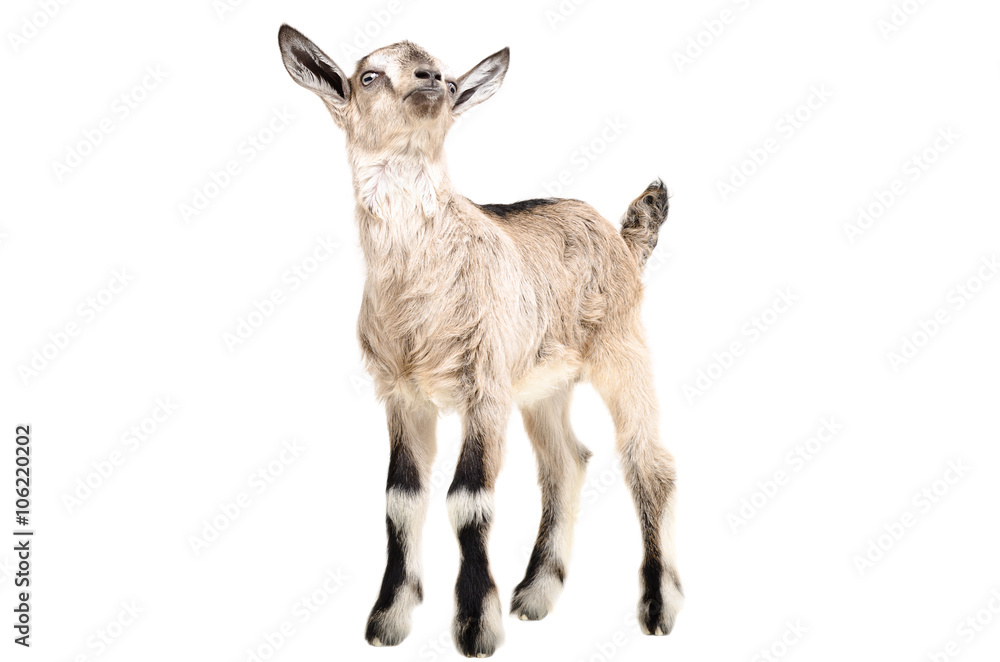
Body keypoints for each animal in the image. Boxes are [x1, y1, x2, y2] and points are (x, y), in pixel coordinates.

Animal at [277, 25, 682, 658]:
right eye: (369, 75)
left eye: (445, 77)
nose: (428, 82)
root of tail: (623, 239)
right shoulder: (401, 394)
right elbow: (401, 498)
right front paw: (389, 618)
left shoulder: (484, 387)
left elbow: (467, 499)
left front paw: (474, 624)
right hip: (543, 385)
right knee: (566, 462)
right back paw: (537, 594)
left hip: (622, 349)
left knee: (649, 462)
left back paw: (658, 607)